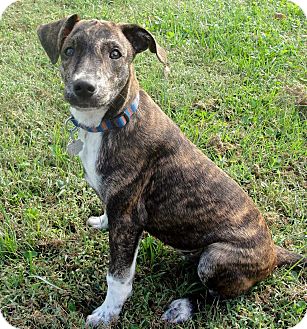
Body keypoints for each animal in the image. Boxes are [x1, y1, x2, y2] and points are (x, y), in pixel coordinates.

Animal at [36, 14, 306, 326]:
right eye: (69, 50)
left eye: (115, 54)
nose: (84, 86)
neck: (108, 123)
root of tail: (273, 253)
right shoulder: (119, 208)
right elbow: (108, 213)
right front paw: (102, 221)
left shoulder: (127, 219)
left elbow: (118, 277)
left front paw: (107, 313)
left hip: (216, 258)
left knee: (220, 297)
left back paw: (183, 307)